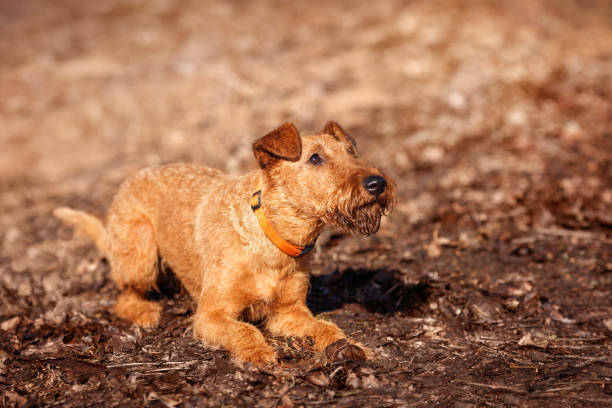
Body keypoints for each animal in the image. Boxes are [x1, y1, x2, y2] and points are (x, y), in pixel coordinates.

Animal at [56, 121, 396, 364]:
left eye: (352, 152)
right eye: (315, 158)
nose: (377, 183)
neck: (273, 237)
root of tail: (129, 178)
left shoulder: (289, 312)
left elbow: (324, 325)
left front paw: (350, 346)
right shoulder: (210, 315)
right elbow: (244, 329)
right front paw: (258, 354)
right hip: (140, 253)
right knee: (124, 296)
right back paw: (145, 312)